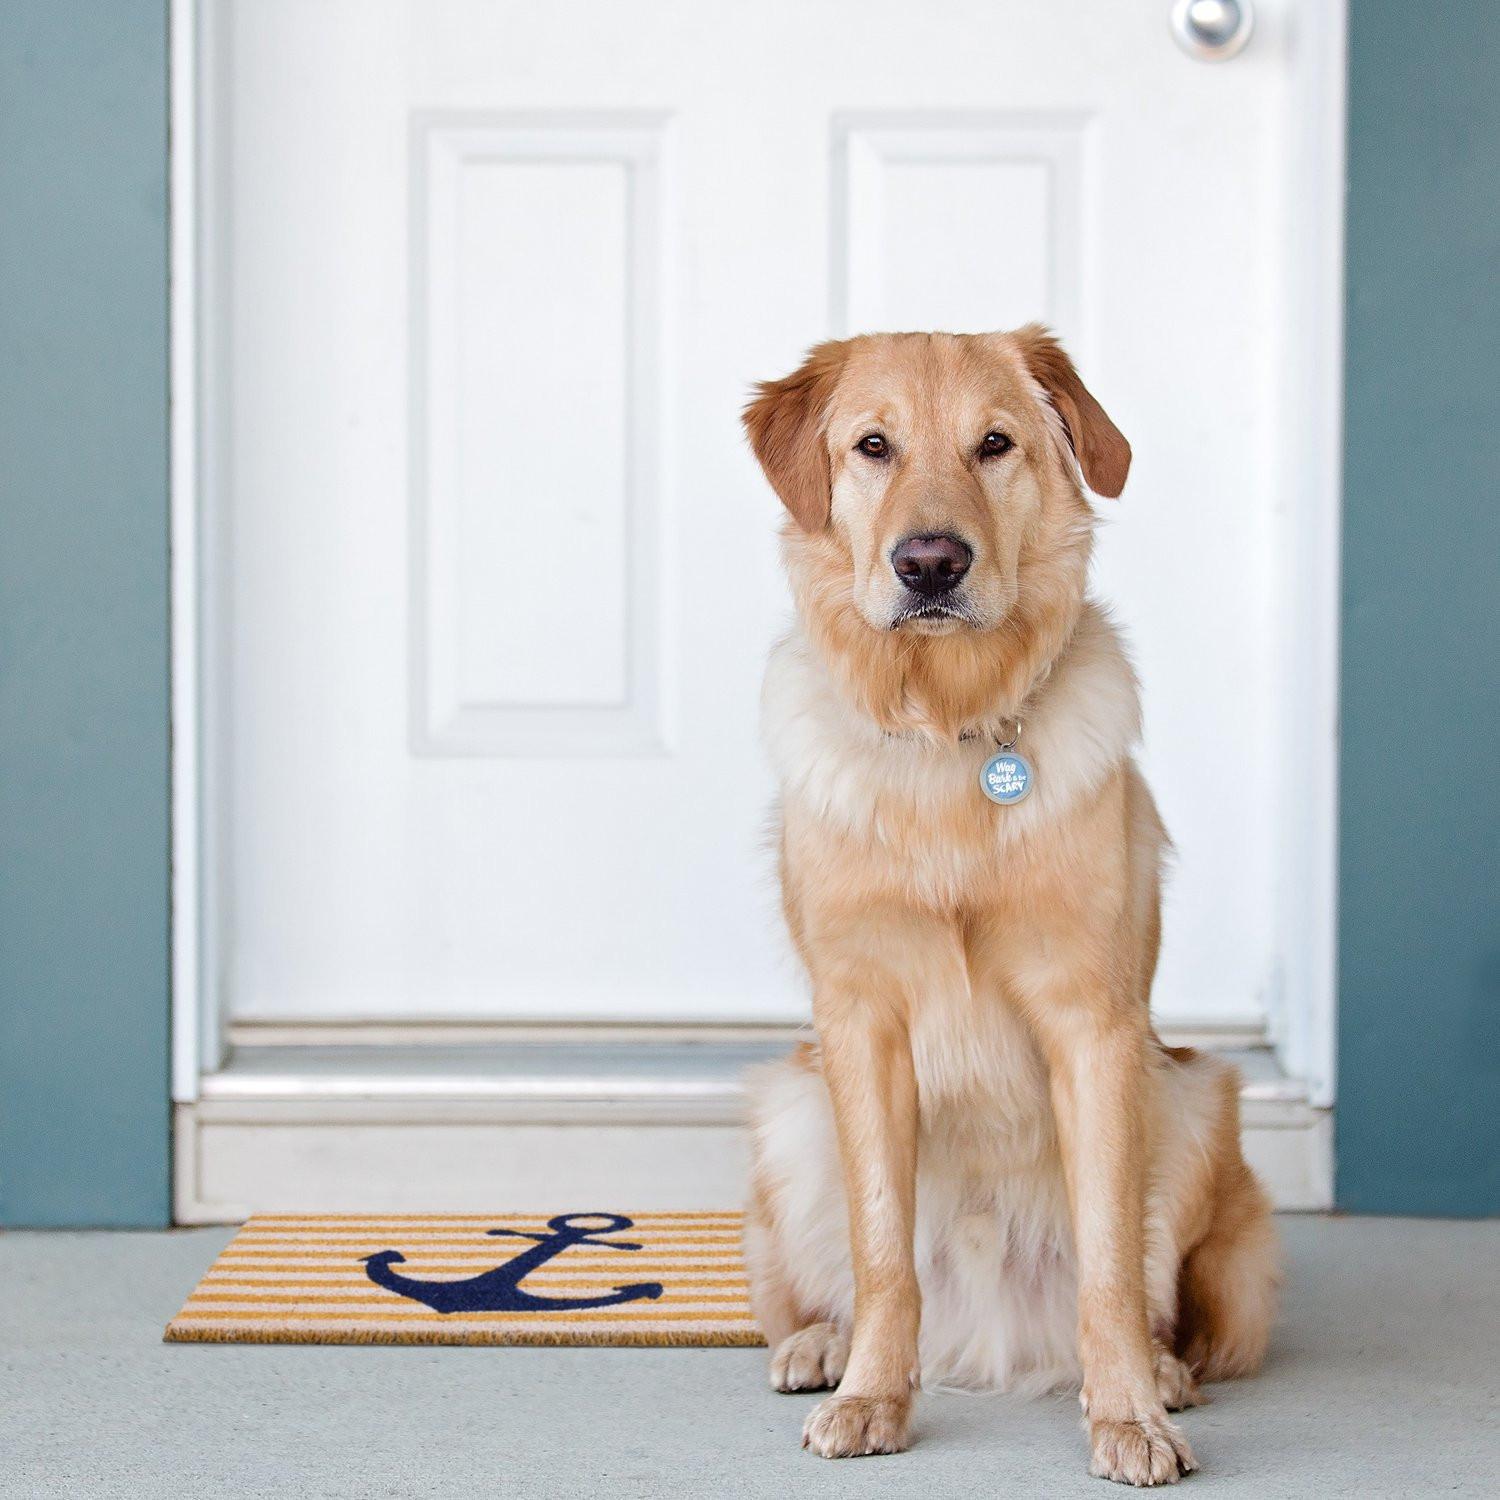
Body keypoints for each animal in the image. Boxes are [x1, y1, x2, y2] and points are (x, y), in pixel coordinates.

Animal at [738, 322, 1278, 1482]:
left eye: (995, 444)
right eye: (874, 446)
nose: (931, 563)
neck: (949, 732)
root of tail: (991, 1336)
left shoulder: (1095, 1027)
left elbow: (1112, 1265)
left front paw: (1127, 1415)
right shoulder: (860, 1025)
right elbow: (884, 1251)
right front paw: (873, 1397)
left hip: (1192, 1099)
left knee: (1157, 1297)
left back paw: (1163, 1373)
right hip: (788, 1110)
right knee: (840, 1283)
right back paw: (822, 1346)